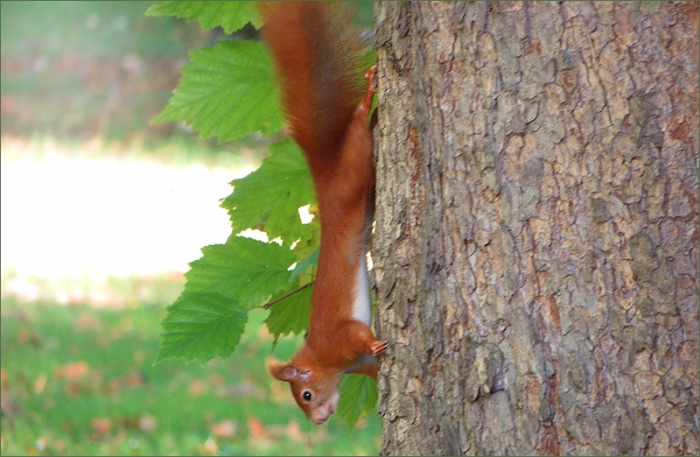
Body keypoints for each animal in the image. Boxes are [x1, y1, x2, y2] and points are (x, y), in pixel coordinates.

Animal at [258, 2, 386, 425]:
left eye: (307, 394)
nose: (318, 421)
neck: (324, 360)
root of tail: (324, 172)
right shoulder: (355, 363)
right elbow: (373, 367)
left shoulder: (338, 338)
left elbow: (358, 333)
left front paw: (377, 342)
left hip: (353, 171)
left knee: (360, 125)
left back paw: (368, 93)